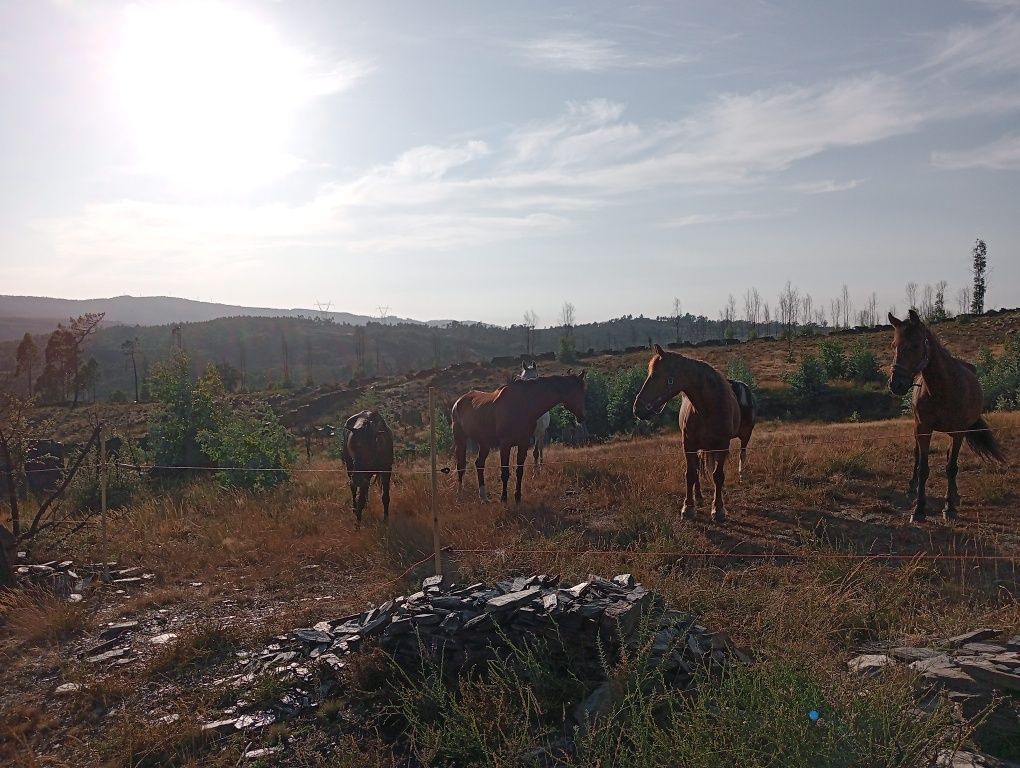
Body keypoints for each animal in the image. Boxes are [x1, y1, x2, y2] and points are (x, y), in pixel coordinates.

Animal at [452, 371, 587, 503]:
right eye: (578, 392)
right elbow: (505, 472)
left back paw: (484, 497)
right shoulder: (505, 445)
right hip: (460, 438)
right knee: (461, 465)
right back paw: (460, 494)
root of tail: (458, 401)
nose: (582, 417)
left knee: (479, 464)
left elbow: (519, 471)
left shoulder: (523, 444)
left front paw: (517, 497)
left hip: (484, 443)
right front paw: (504, 499)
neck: (522, 405)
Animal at [628, 346, 742, 522]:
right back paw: (699, 498)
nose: (637, 409)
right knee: (696, 470)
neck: (709, 409)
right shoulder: (688, 444)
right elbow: (690, 474)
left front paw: (718, 509)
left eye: (656, 375)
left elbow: (718, 476)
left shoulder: (722, 445)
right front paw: (688, 507)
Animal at [885, 310, 1003, 522]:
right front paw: (919, 509)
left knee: (950, 460)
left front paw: (949, 508)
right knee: (917, 455)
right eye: (894, 346)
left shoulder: (958, 432)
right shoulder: (923, 429)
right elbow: (923, 468)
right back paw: (912, 488)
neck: (944, 388)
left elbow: (951, 467)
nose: (895, 384)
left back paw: (954, 495)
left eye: (915, 345)